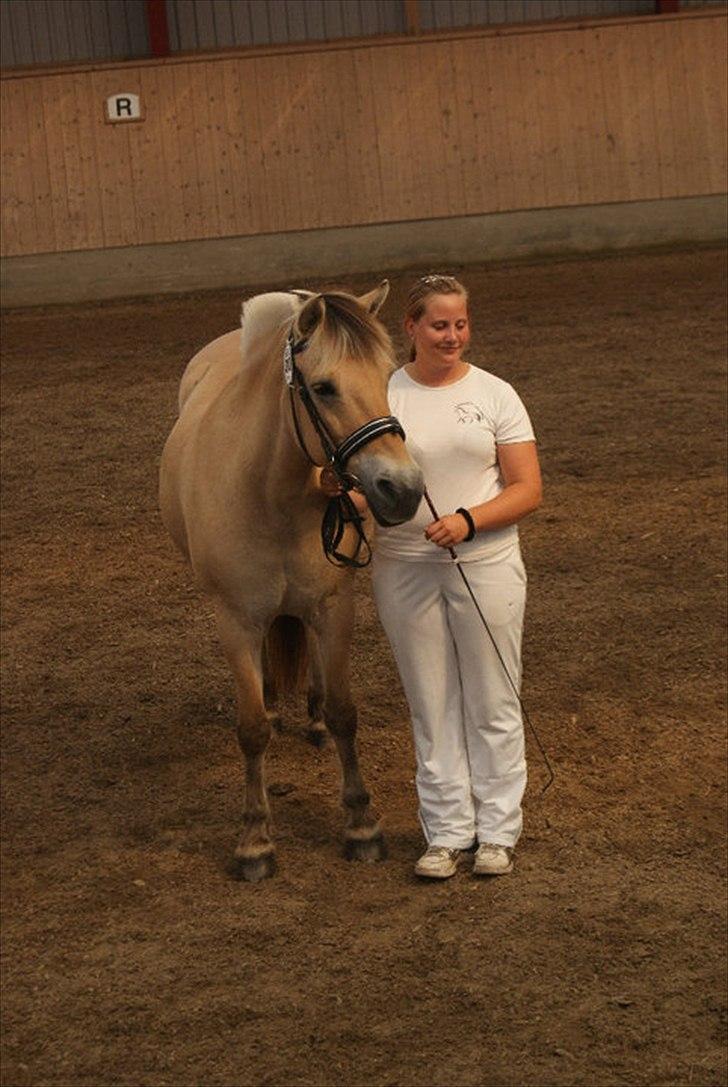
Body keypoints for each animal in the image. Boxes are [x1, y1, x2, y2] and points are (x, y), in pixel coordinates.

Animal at [156, 282, 425, 882]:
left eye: (387, 375)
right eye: (323, 388)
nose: (403, 488)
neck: (268, 492)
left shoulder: (334, 605)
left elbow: (346, 712)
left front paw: (361, 825)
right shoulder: (234, 619)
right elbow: (251, 728)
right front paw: (255, 841)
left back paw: (313, 717)